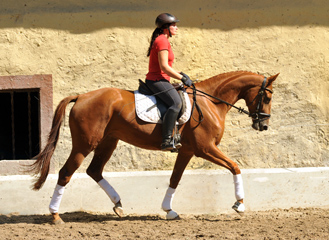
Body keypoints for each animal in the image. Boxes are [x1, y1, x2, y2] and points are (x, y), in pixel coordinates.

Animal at [30, 71, 276, 223]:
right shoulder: (205, 149)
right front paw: (239, 204)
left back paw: (118, 204)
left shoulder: (187, 151)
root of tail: (81, 96)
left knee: (94, 171)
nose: (263, 125)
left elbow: (175, 178)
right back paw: (55, 216)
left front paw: (168, 210)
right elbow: (235, 166)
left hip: (109, 141)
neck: (210, 102)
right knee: (66, 172)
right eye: (267, 98)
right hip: (85, 144)